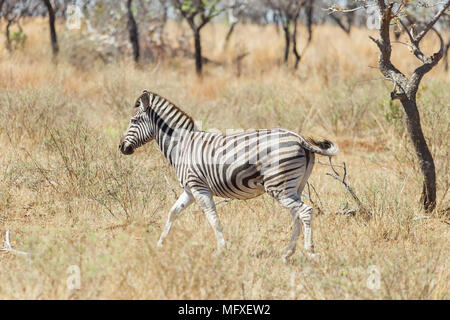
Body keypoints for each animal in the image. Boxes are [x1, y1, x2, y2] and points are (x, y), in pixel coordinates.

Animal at [119, 89, 338, 260]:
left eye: (133, 120)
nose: (121, 147)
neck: (182, 145)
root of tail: (300, 138)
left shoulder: (199, 187)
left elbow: (213, 217)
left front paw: (221, 250)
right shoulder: (189, 190)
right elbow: (173, 212)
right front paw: (160, 244)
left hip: (279, 187)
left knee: (305, 212)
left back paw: (309, 252)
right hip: (294, 187)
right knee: (296, 215)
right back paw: (288, 252)